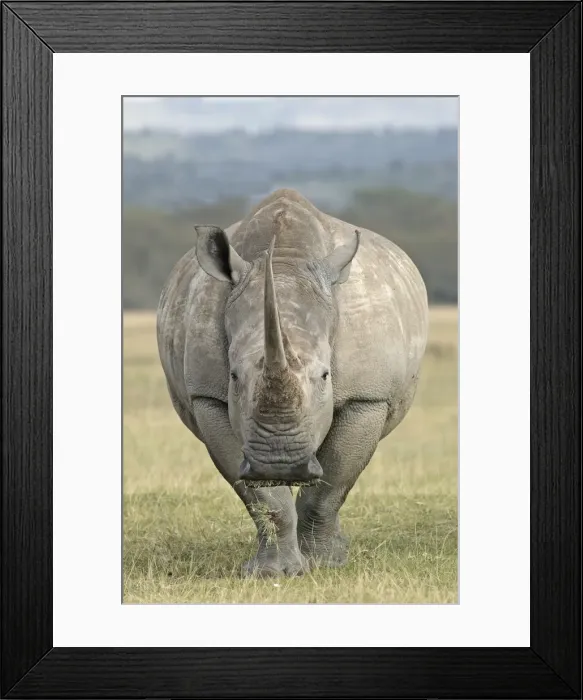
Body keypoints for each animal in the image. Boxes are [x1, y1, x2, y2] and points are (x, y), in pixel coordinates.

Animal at [157, 188, 428, 577]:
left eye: (326, 376)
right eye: (234, 377)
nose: (279, 463)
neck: (284, 259)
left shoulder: (367, 397)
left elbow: (331, 484)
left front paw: (325, 564)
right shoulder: (208, 397)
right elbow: (262, 498)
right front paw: (272, 573)